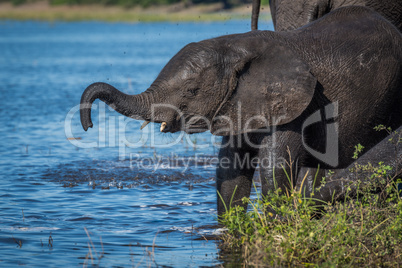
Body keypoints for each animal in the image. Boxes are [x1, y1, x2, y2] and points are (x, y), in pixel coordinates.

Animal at [81, 6, 402, 216]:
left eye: (191, 91)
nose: (88, 125)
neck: (234, 47)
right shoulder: (238, 102)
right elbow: (229, 169)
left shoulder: (299, 105)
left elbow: (274, 167)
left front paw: (277, 230)